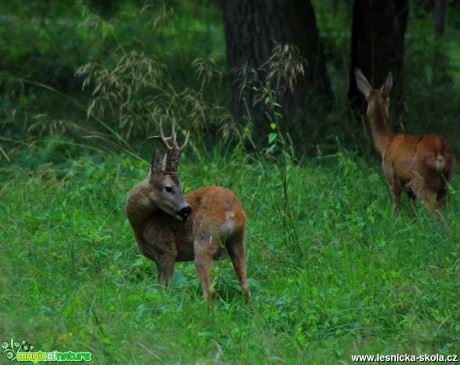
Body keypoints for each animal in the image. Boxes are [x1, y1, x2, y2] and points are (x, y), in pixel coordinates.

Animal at [125, 121, 252, 302]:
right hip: (238, 239)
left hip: (203, 239)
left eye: (181, 187)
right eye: (169, 188)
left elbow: (164, 290)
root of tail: (231, 209)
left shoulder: (167, 252)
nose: (186, 210)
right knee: (246, 287)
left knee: (209, 291)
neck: (142, 223)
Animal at [354, 68, 454, 215]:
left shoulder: (391, 179)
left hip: (421, 181)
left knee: (436, 213)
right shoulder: (410, 191)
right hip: (446, 181)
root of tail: (440, 150)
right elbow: (413, 213)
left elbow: (396, 210)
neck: (385, 143)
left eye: (388, 100)